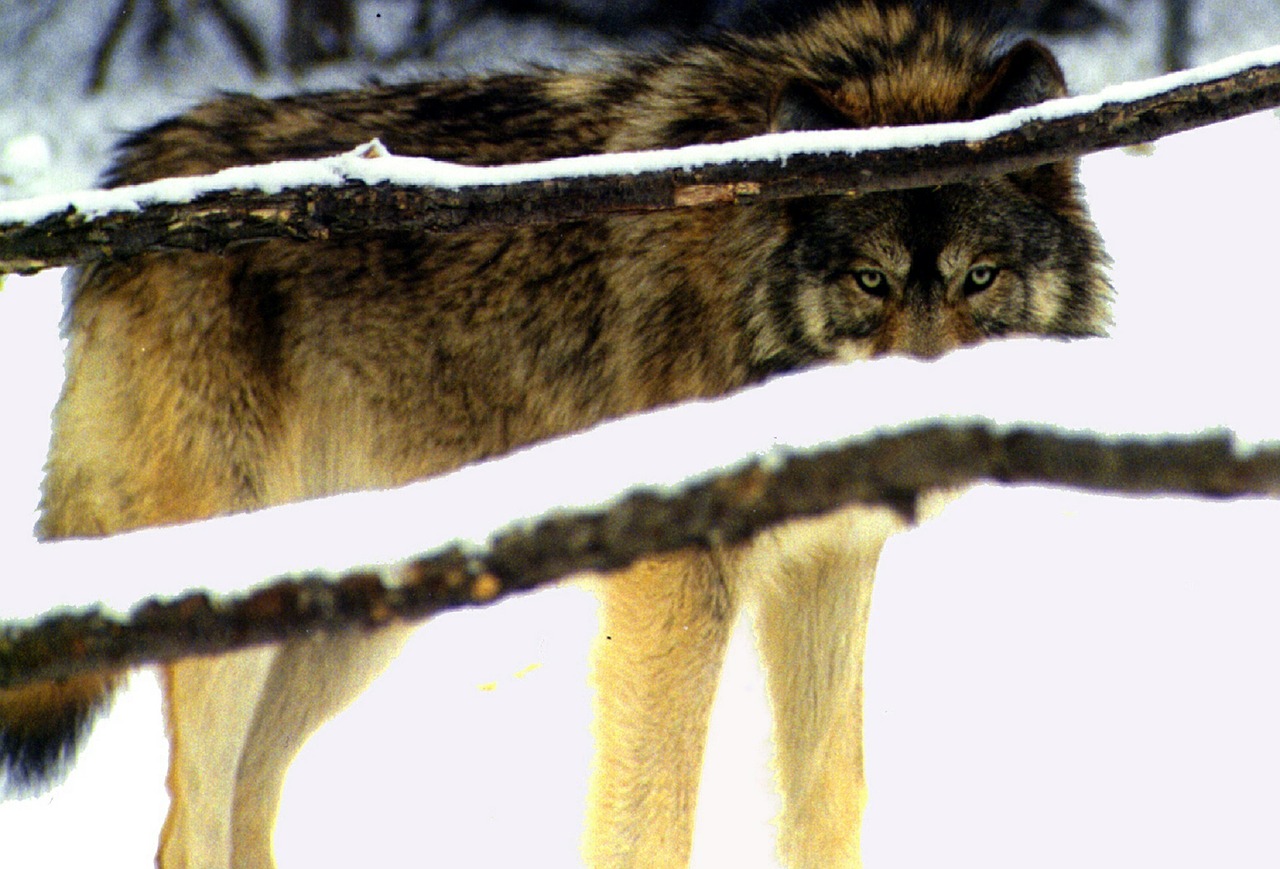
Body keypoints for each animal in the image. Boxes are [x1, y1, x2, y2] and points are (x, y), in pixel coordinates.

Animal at [0, 3, 1111, 865]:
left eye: (978, 276)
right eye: (869, 280)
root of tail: (133, 172)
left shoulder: (826, 571)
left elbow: (828, 801)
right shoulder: (675, 586)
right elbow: (650, 818)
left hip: (352, 622)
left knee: (245, 798)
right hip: (238, 622)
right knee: (187, 825)